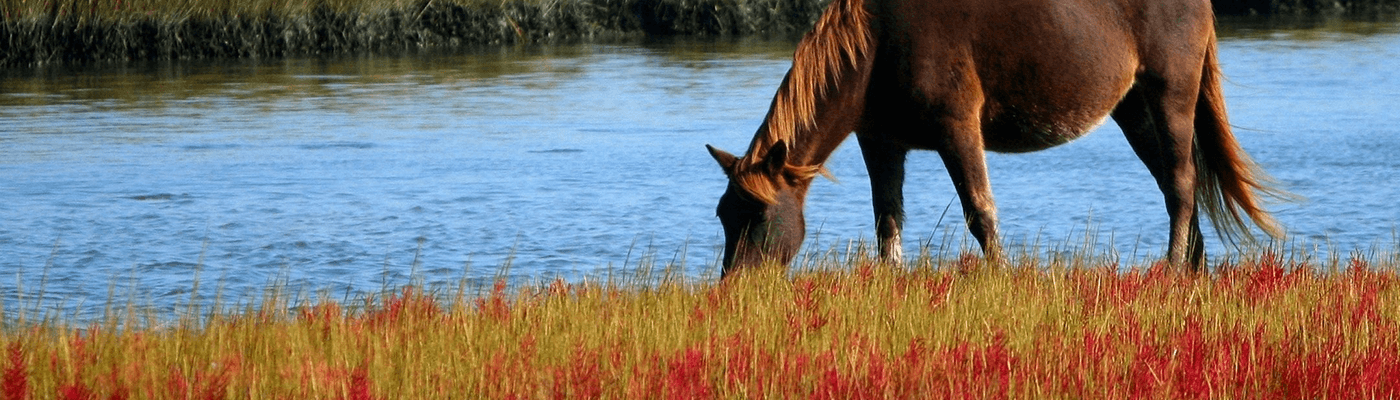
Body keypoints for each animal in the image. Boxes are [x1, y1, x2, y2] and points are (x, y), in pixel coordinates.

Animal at [705, 0, 1282, 276]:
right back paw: (1194, 268)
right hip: (1134, 109)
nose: (735, 286)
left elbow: (981, 212)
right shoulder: (882, 142)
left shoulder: (958, 127)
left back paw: (1173, 270)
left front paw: (1001, 276)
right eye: (724, 216)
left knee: (1182, 184)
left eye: (759, 217)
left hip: (1171, 95)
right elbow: (887, 220)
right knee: (1174, 186)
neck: (877, 43)